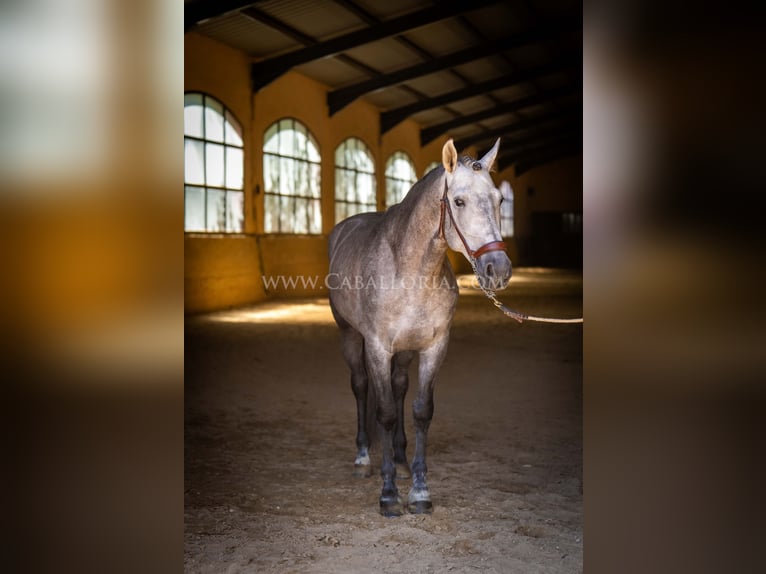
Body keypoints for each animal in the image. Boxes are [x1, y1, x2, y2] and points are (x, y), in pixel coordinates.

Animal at [328, 138, 512, 516]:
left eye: (499, 200)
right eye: (458, 201)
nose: (497, 269)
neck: (410, 270)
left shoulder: (433, 347)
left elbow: (421, 411)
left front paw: (419, 491)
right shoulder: (378, 347)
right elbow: (383, 412)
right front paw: (388, 495)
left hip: (404, 351)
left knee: (399, 387)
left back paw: (399, 458)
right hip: (350, 337)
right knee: (361, 387)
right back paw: (363, 458)